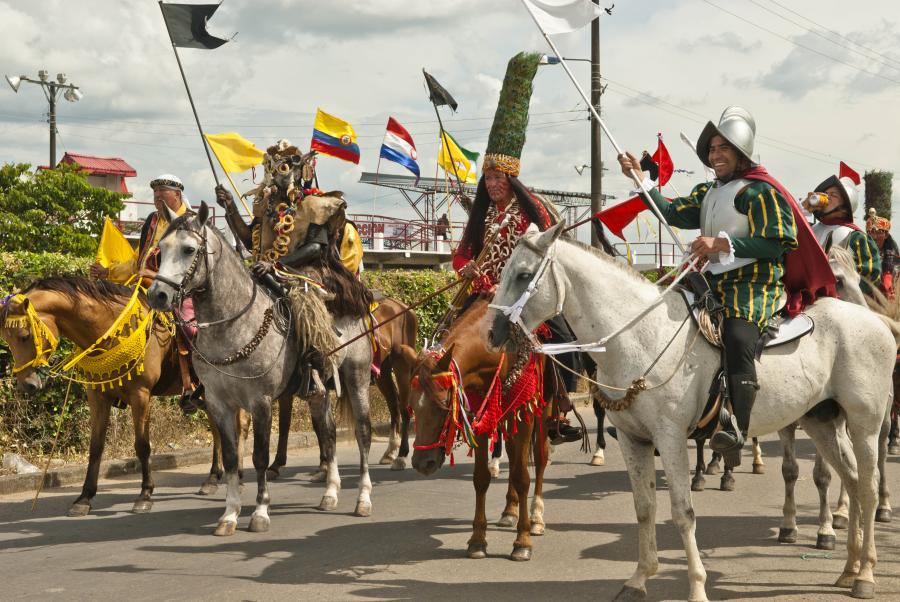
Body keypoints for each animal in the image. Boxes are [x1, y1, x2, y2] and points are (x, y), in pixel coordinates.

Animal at [0, 278, 250, 512]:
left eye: (24, 336)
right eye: (7, 340)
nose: (28, 384)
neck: (110, 331)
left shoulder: (140, 394)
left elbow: (142, 445)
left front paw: (145, 494)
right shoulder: (97, 397)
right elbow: (96, 447)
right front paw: (84, 498)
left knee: (240, 425)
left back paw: (237, 475)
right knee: (218, 429)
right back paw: (212, 478)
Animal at [266, 292, 420, 476]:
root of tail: (404, 307)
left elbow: (318, 424)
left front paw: (324, 463)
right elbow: (288, 423)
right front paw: (277, 464)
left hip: (401, 365)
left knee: (404, 408)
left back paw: (402, 455)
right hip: (382, 372)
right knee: (394, 405)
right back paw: (390, 452)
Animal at [406, 298, 548, 560]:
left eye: (443, 405)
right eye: (412, 406)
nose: (422, 463)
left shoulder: (524, 412)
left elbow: (522, 476)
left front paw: (522, 542)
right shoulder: (480, 415)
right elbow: (481, 478)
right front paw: (478, 540)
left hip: (543, 408)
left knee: (541, 458)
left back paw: (536, 518)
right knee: (513, 455)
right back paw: (509, 511)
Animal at [488, 224, 888, 600]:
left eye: (524, 275)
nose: (493, 334)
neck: (640, 336)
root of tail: (875, 320)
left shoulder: (671, 437)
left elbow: (683, 512)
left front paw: (696, 586)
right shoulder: (633, 439)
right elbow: (645, 506)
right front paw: (639, 579)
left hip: (864, 424)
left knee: (868, 487)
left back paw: (866, 574)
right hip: (822, 421)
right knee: (852, 480)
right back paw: (850, 568)